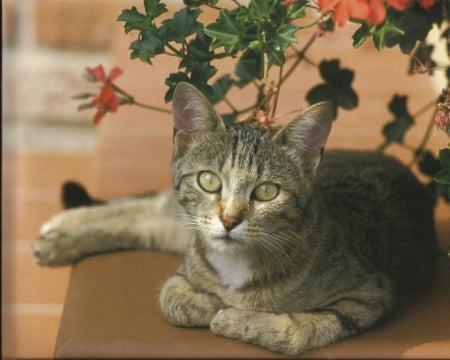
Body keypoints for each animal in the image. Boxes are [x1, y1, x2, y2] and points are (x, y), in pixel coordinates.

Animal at [33, 83, 438, 356]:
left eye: (267, 192)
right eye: (209, 181)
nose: (228, 219)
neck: (238, 264)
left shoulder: (370, 293)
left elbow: (299, 330)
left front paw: (230, 316)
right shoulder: (187, 263)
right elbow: (172, 299)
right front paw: (213, 304)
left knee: (144, 220)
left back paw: (58, 237)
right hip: (183, 223)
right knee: (149, 207)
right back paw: (60, 231)